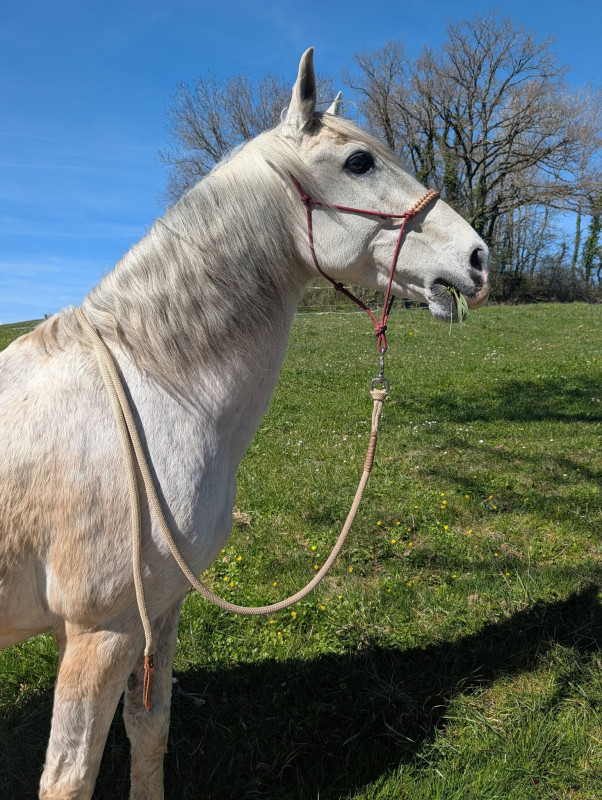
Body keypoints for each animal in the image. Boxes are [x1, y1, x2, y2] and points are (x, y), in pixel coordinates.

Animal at [0, 49, 489, 799]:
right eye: (358, 162)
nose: (477, 259)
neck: (156, 384)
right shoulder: (98, 629)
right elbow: (70, 778)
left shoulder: (156, 614)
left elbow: (149, 733)